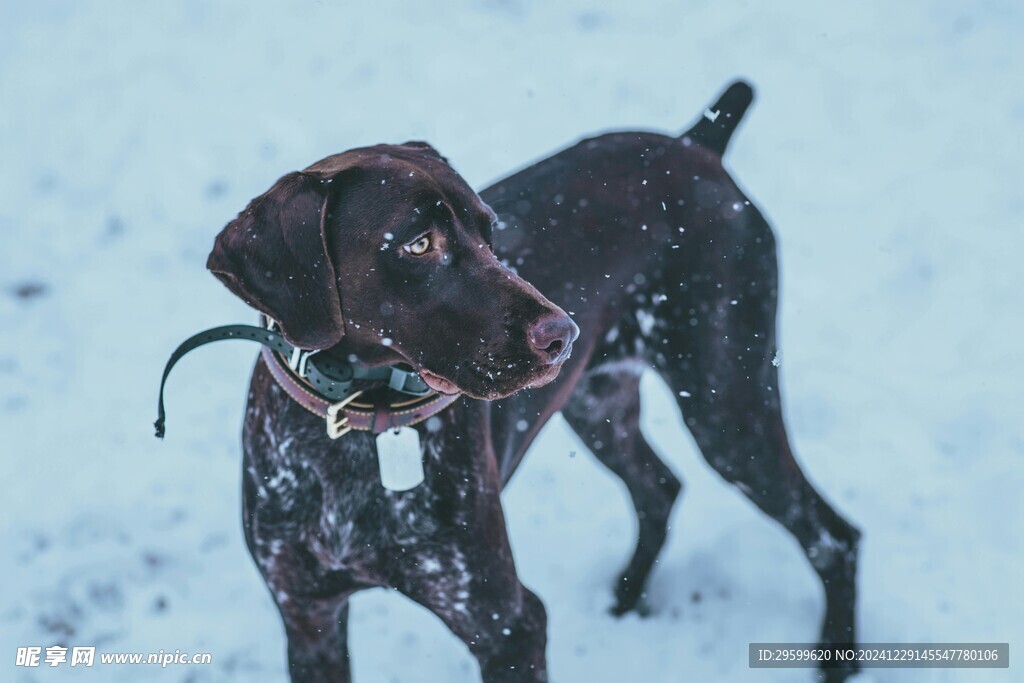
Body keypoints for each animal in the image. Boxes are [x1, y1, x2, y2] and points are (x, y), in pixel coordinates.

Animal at [195, 82, 860, 679]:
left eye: (490, 233)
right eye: (417, 244)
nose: (562, 333)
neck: (355, 425)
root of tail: (699, 145)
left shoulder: (508, 624)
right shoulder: (309, 620)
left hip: (727, 408)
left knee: (833, 535)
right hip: (599, 404)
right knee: (660, 488)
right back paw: (624, 599)